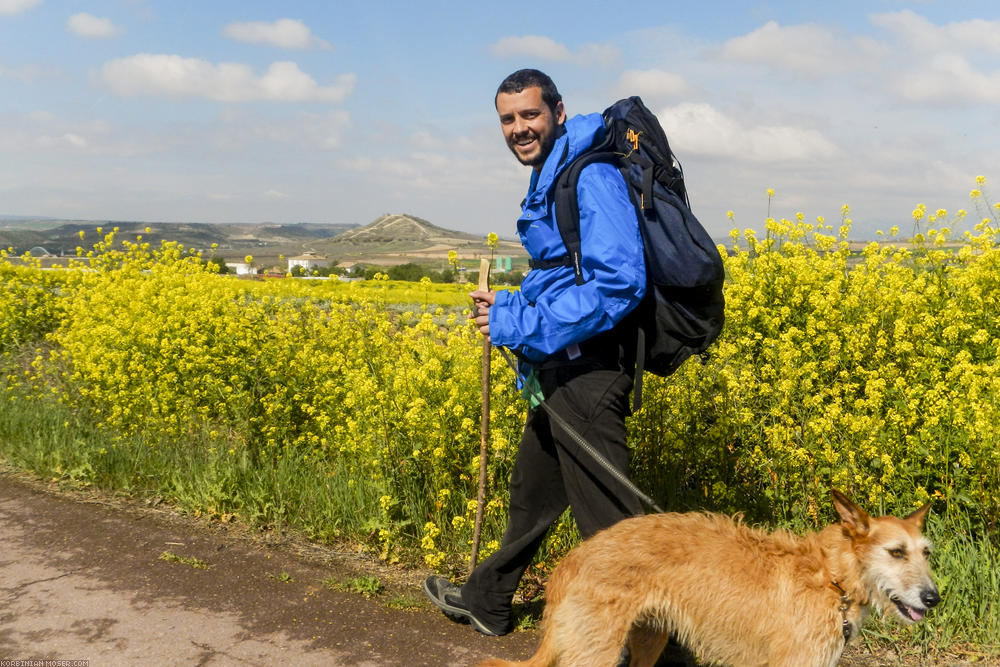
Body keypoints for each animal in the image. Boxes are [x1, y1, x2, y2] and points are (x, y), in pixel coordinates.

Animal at [480, 490, 940, 667]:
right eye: (896, 552)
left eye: (926, 553)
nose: (933, 598)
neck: (832, 577)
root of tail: (572, 559)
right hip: (595, 653)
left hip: (648, 638)